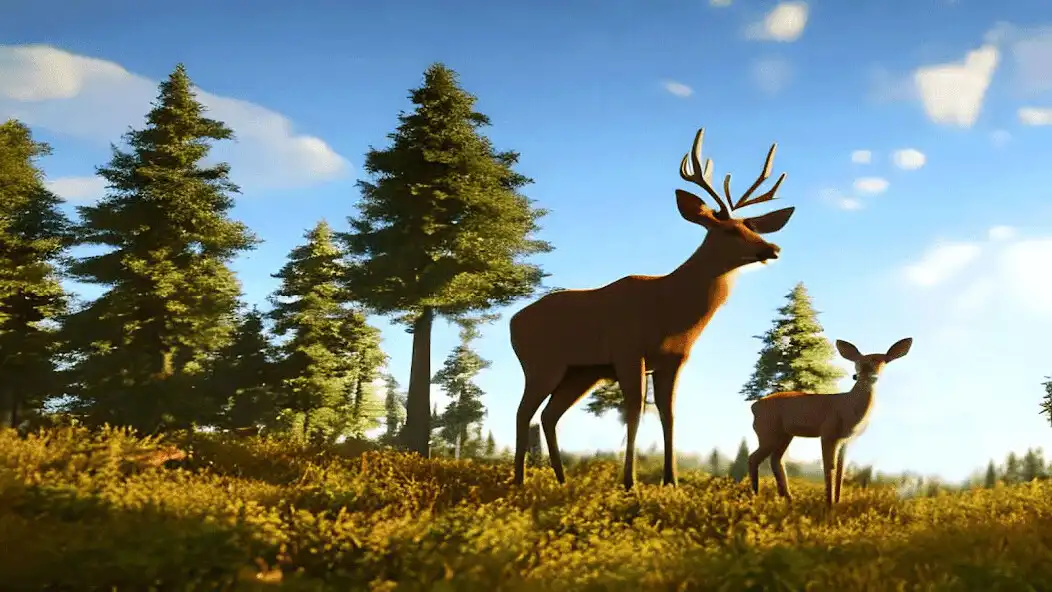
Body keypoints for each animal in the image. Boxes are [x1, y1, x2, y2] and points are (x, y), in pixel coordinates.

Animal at [509, 127, 797, 490]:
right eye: (730, 229)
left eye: (752, 227)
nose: (773, 248)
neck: (671, 312)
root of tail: (513, 322)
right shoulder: (629, 351)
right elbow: (634, 412)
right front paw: (629, 481)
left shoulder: (674, 360)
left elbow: (668, 414)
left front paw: (670, 481)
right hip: (541, 364)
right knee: (523, 412)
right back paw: (519, 480)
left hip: (581, 373)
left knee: (549, 415)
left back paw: (561, 480)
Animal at [748, 337, 913, 508]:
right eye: (858, 362)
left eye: (883, 361)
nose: (864, 373)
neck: (848, 408)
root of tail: (754, 407)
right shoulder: (827, 431)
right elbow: (829, 467)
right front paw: (829, 504)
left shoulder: (847, 440)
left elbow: (841, 470)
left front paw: (838, 501)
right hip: (768, 431)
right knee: (754, 458)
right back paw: (755, 496)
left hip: (784, 434)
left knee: (776, 460)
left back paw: (787, 499)